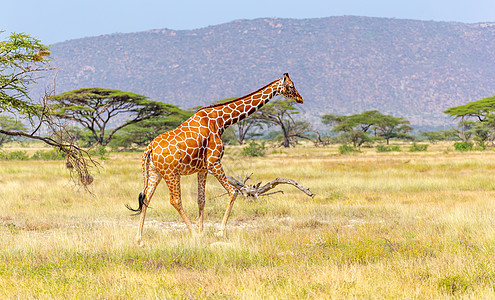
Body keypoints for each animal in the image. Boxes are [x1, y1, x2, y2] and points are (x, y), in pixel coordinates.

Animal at [126, 73, 304, 246]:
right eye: (291, 86)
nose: (300, 98)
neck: (220, 121)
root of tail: (150, 148)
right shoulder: (214, 162)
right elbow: (233, 192)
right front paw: (218, 232)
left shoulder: (203, 168)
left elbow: (201, 200)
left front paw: (202, 232)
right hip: (171, 173)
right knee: (175, 200)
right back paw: (191, 234)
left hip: (155, 172)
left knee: (146, 198)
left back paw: (139, 239)